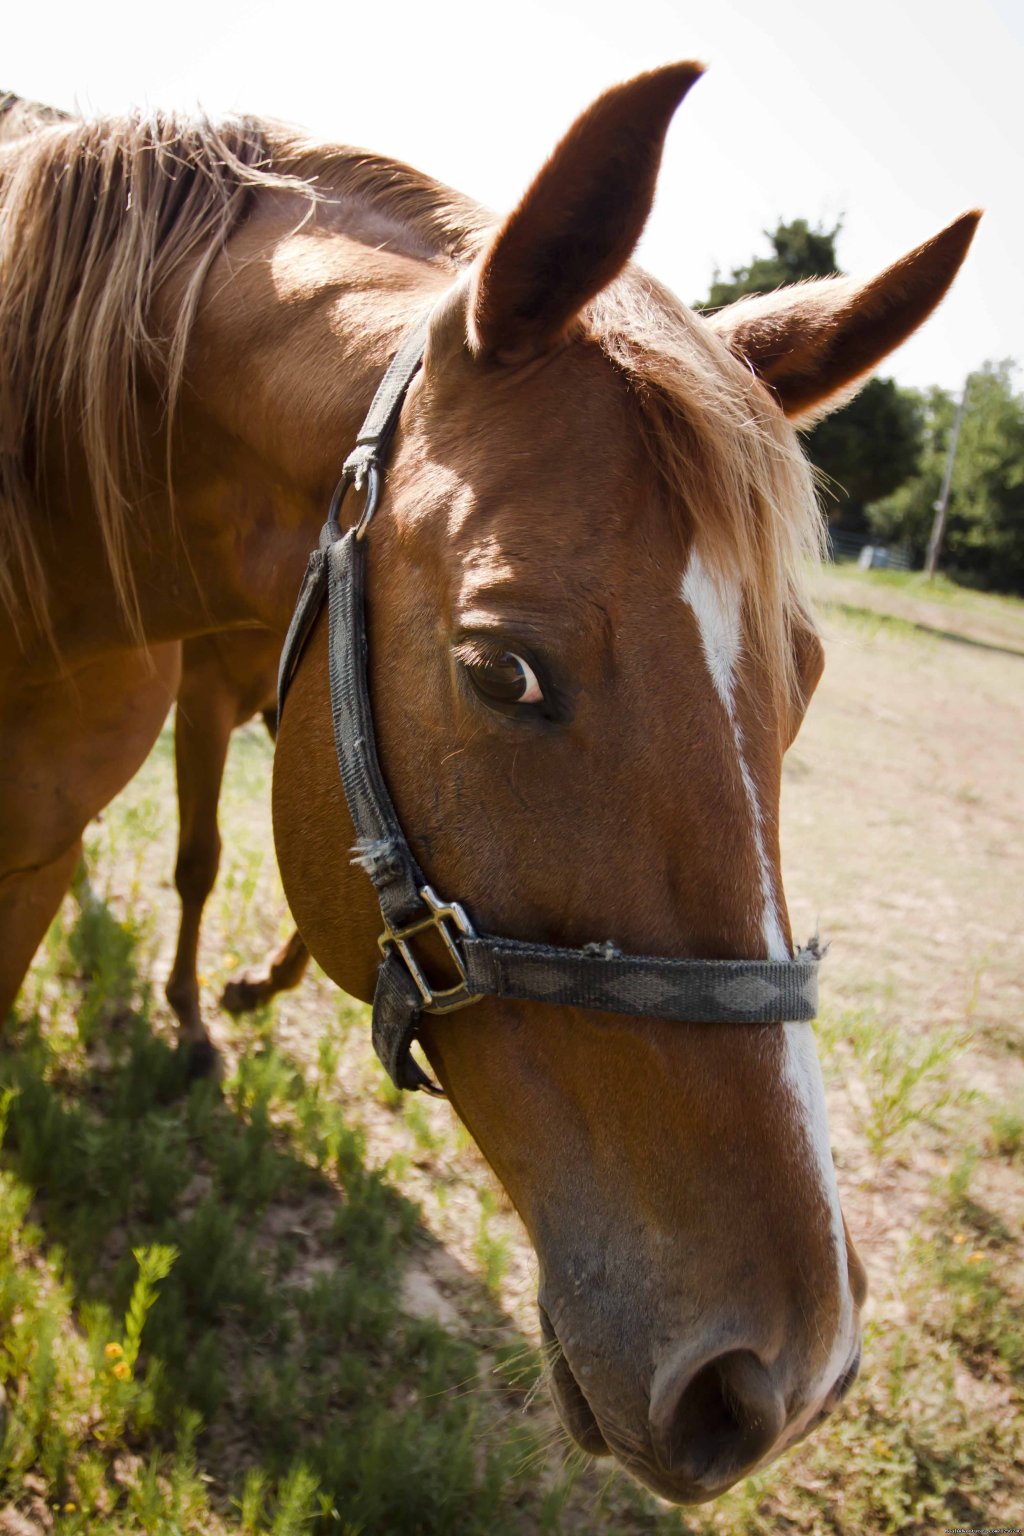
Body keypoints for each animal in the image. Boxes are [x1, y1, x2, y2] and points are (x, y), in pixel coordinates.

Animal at [0, 66, 976, 1505]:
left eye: (803, 682)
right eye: (500, 669)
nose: (786, 1375)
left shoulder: (58, 836)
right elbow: (195, 860)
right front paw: (189, 1020)